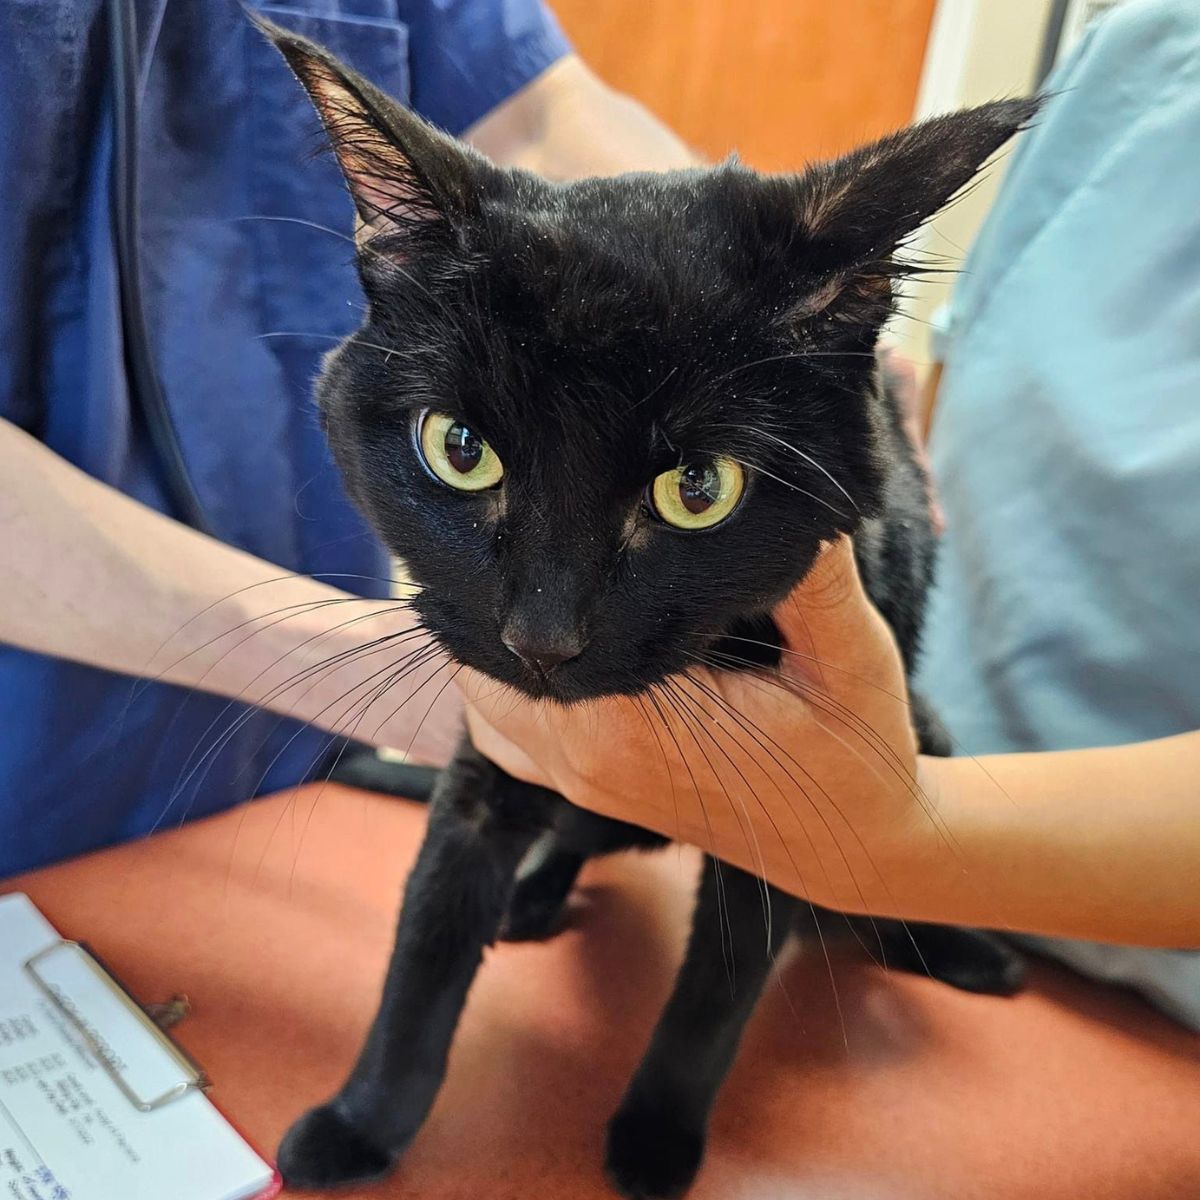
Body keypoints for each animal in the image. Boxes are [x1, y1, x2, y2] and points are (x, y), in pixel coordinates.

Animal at [260, 21, 1032, 1200]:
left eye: (698, 489)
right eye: (459, 448)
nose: (542, 636)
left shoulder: (802, 811)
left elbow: (713, 1000)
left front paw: (656, 1139)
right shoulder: (489, 763)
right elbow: (423, 954)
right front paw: (362, 1123)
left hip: (926, 737)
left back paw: (966, 951)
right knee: (571, 843)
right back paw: (536, 896)